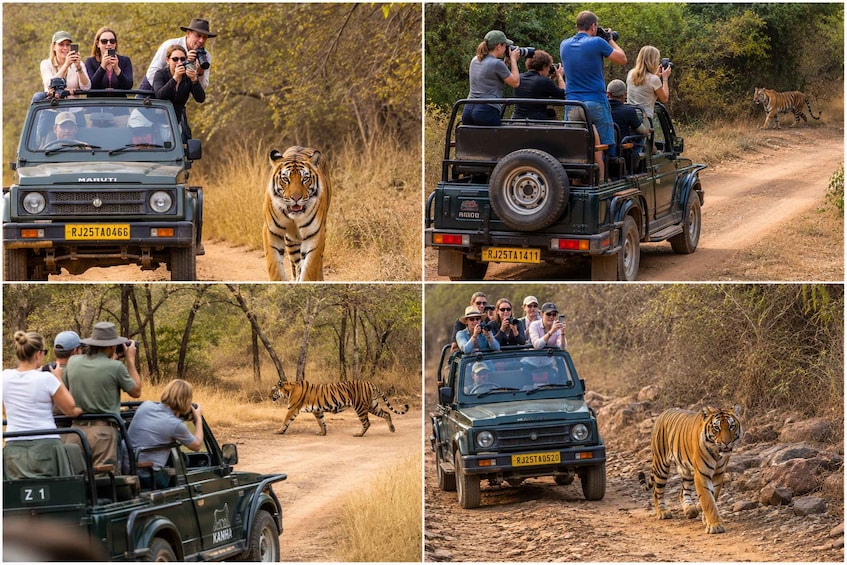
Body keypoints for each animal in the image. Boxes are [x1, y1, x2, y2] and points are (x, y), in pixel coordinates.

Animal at [263, 145, 331, 281]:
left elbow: (309, 268)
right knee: (296, 264)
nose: (296, 198)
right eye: (285, 179)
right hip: (291, 241)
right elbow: (274, 267)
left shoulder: (314, 233)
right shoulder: (271, 230)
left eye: (305, 179)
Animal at [269, 378, 409, 437]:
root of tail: (370, 383)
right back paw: (392, 429)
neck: (288, 390)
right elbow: (321, 422)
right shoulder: (317, 411)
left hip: (360, 407)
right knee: (387, 413)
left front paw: (279, 431)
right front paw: (322, 433)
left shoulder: (292, 408)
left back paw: (358, 434)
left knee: (367, 423)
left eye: (273, 390)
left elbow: (286, 421)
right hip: (373, 405)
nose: (268, 396)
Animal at [638, 405, 742, 534]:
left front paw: (704, 517)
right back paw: (662, 512)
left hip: (687, 470)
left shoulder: (718, 474)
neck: (717, 453)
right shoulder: (702, 474)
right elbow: (708, 500)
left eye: (731, 426)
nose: (726, 443)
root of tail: (661, 414)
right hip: (661, 465)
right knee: (656, 491)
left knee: (682, 492)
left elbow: (713, 496)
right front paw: (715, 526)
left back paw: (690, 509)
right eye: (716, 428)